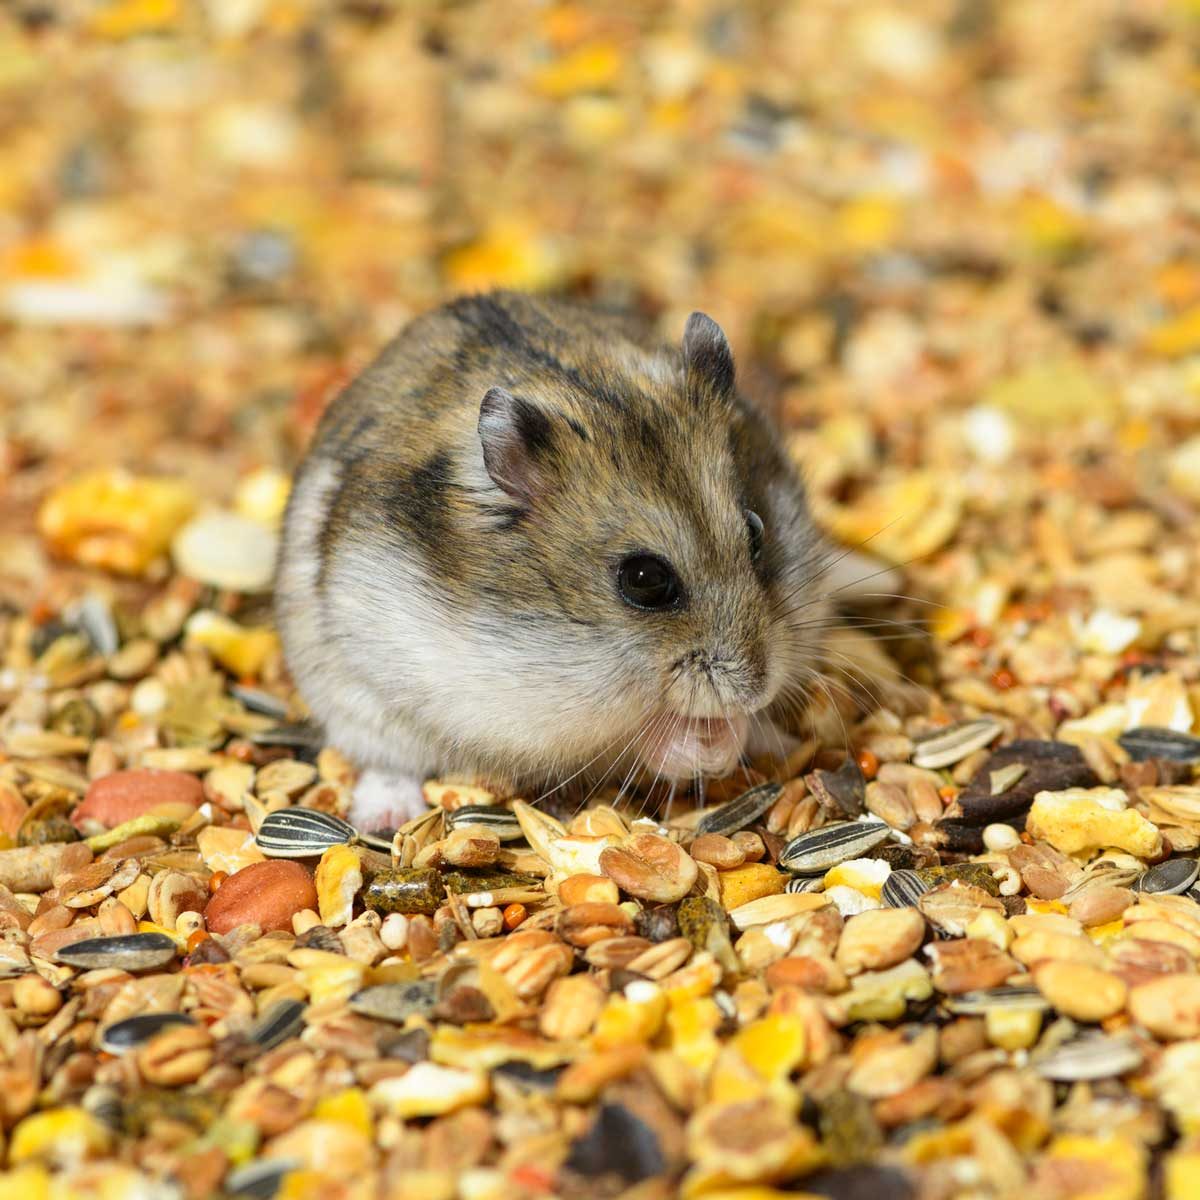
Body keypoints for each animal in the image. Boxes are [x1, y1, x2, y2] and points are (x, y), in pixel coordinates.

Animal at [276, 295, 888, 830]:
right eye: (645, 580)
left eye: (757, 533)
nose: (756, 688)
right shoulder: (514, 705)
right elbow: (639, 737)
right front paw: (709, 744)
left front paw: (737, 729)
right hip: (357, 703)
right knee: (387, 762)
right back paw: (385, 817)